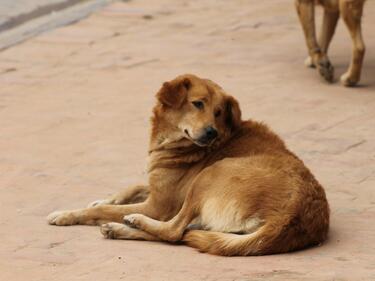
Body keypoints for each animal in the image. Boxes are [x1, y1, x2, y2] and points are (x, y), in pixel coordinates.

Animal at [48, 74, 330, 254]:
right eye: (197, 104)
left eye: (219, 112)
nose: (211, 133)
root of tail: (294, 214)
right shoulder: (160, 188)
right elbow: (133, 186)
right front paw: (102, 199)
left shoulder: (159, 205)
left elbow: (104, 210)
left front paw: (66, 214)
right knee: (180, 234)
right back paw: (119, 228)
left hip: (211, 174)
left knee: (174, 232)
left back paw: (133, 221)